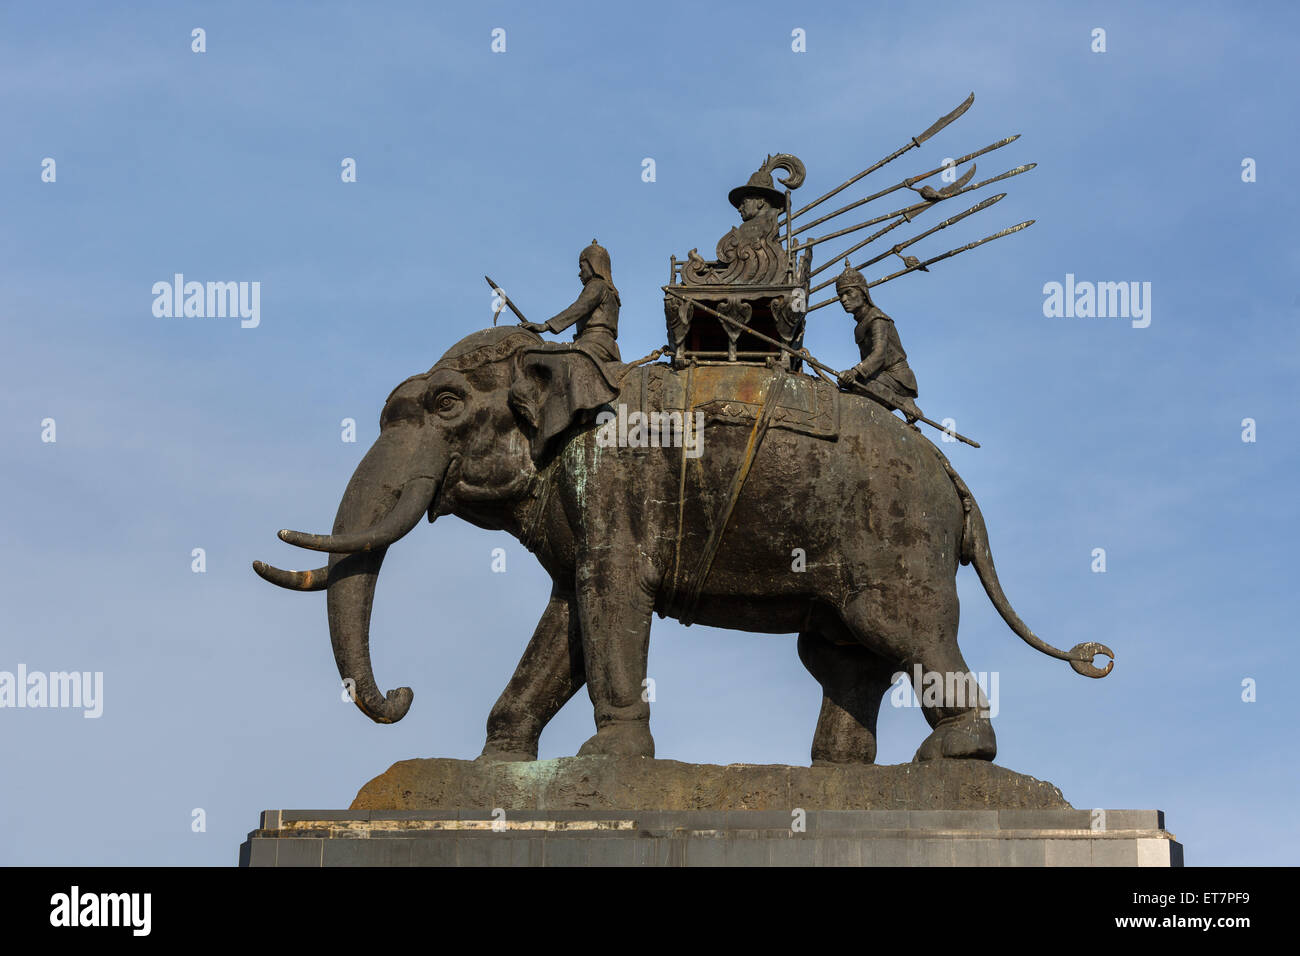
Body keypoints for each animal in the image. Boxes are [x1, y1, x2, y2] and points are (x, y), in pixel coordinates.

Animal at [256, 325, 1118, 764]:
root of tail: (954, 479)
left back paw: (952, 758)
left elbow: (610, 594)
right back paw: (836, 772)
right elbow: (566, 618)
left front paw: (606, 762)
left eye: (444, 403)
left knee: (903, 629)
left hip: (894, 533)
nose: (402, 697)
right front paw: (501, 761)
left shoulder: (614, 478)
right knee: (841, 654)